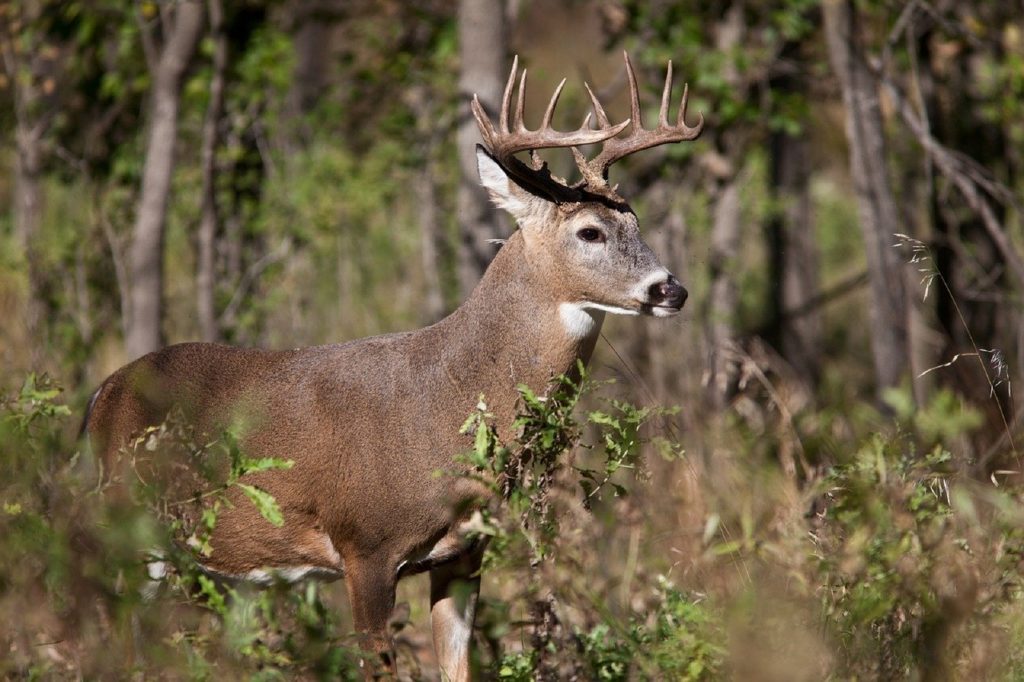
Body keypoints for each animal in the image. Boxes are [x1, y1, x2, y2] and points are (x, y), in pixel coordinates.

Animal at [81, 51, 704, 675]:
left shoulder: (463, 556)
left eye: (637, 223)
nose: (672, 290)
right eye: (589, 231)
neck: (447, 400)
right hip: (128, 525)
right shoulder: (366, 547)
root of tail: (100, 396)